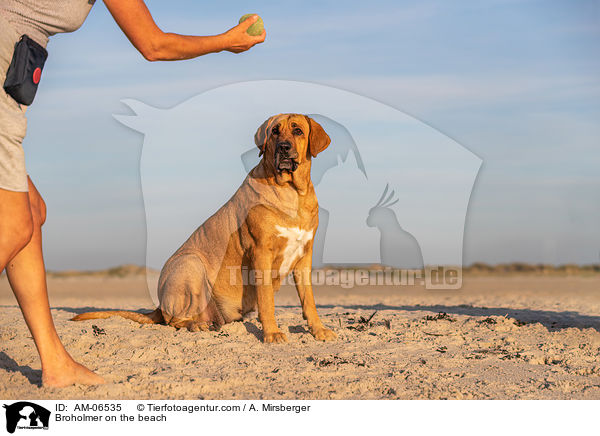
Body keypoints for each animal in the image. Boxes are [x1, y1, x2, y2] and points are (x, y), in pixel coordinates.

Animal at [72, 113, 336, 344]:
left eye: (298, 131)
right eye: (274, 132)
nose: (283, 147)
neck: (292, 192)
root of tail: (159, 304)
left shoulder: (304, 256)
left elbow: (309, 300)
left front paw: (319, 330)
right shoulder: (261, 252)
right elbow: (266, 299)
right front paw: (272, 333)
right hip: (190, 264)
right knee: (173, 320)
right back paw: (196, 325)